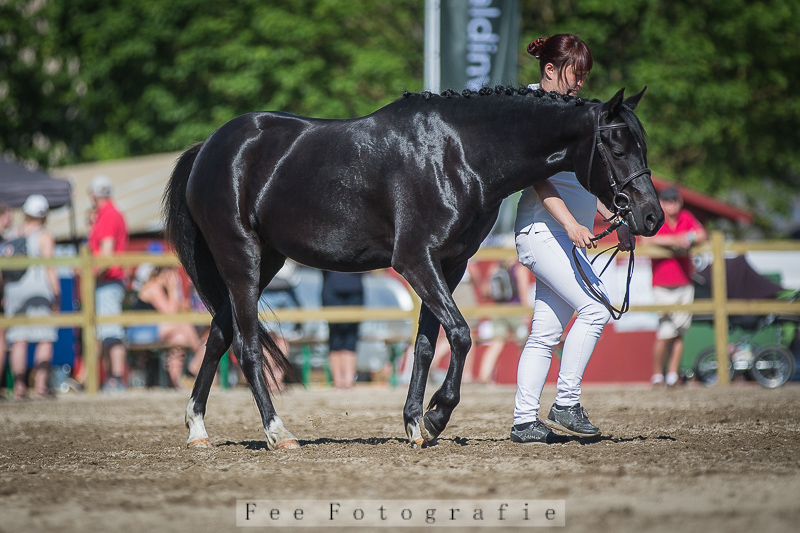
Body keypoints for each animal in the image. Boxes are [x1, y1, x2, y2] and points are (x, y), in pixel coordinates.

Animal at [164, 85, 664, 450]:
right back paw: (278, 433)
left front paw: (414, 424)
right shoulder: (415, 261)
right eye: (617, 147)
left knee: (218, 335)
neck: (457, 153)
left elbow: (426, 344)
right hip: (242, 260)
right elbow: (460, 333)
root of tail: (209, 148)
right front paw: (438, 414)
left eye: (642, 144)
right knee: (246, 347)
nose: (652, 217)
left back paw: (198, 430)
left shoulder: (449, 265)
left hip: (266, 261)